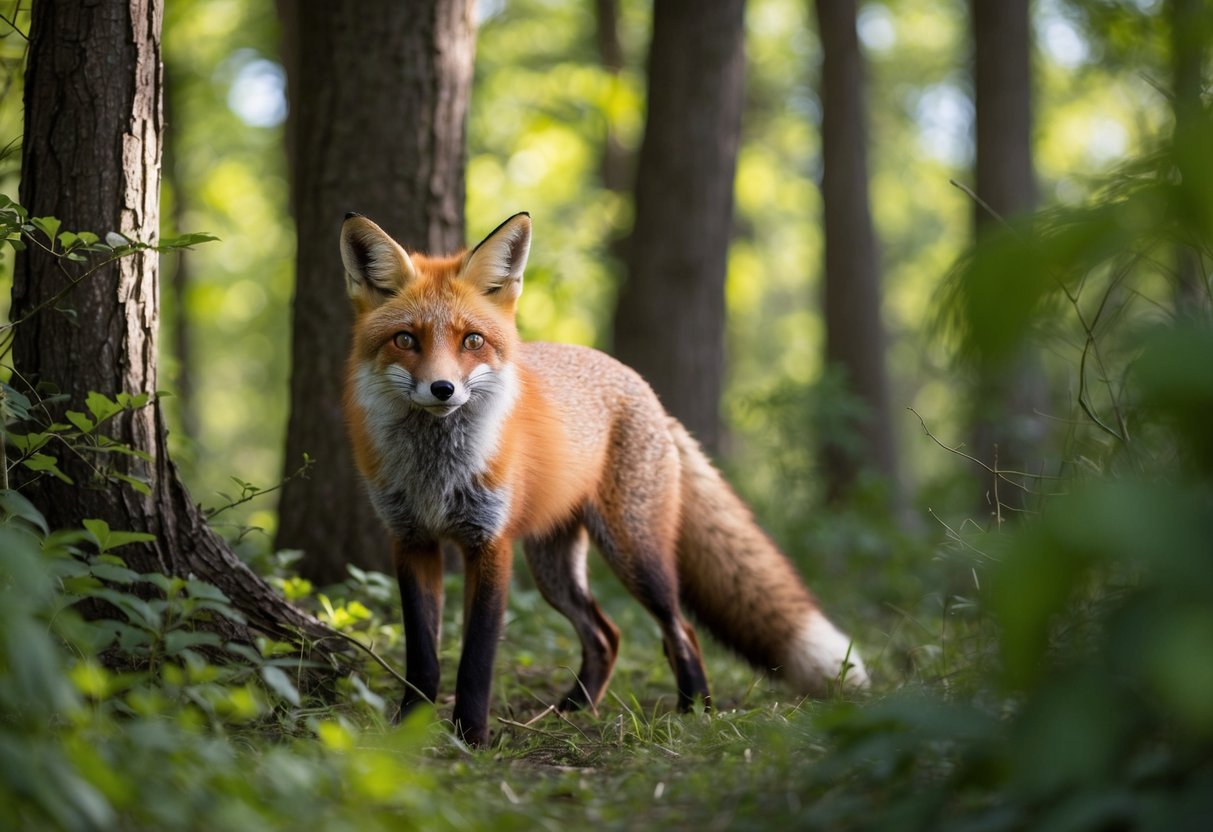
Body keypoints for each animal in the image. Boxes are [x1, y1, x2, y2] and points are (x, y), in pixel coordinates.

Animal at [339, 211, 868, 747]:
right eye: (406, 339)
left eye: (472, 340)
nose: (442, 388)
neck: (436, 473)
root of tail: (647, 391)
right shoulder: (411, 540)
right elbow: (422, 656)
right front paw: (407, 729)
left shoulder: (491, 544)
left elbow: (477, 658)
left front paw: (472, 737)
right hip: (554, 569)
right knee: (606, 635)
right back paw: (572, 711)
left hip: (635, 553)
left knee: (680, 629)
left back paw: (694, 710)